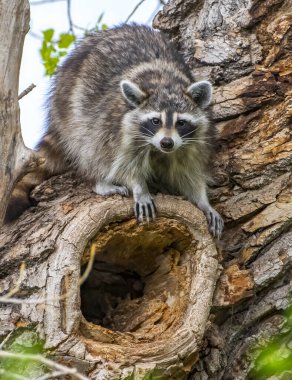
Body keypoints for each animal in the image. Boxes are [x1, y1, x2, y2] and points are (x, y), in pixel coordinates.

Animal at [5, 23, 224, 238]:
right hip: (72, 107)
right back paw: (98, 180)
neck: (165, 83)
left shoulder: (193, 141)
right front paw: (139, 186)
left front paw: (203, 201)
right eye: (155, 121)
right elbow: (122, 164)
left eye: (181, 123)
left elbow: (188, 171)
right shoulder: (118, 127)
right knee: (88, 145)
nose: (166, 143)